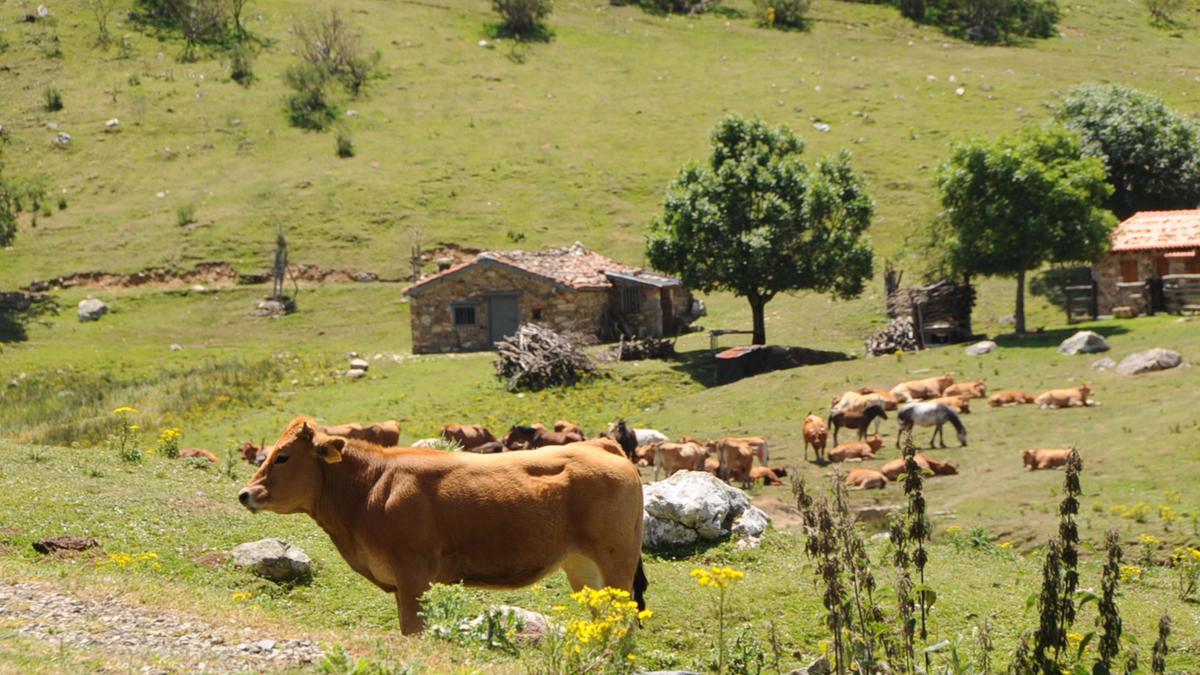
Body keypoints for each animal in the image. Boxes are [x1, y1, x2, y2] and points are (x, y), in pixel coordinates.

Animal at [236, 417, 648, 634]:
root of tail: (600, 446)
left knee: (624, 620)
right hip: (583, 567)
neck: (371, 488)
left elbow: (413, 631)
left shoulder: (414, 574)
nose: (245, 493)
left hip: (617, 563)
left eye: (282, 456)